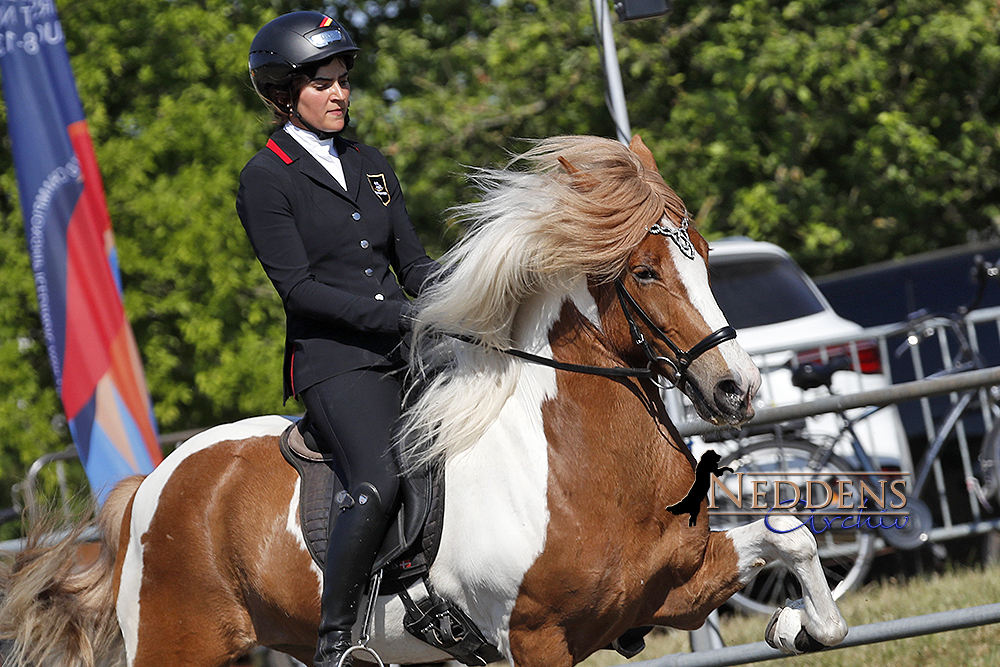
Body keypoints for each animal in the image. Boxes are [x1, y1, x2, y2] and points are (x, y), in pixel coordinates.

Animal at [0, 136, 844, 667]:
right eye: (643, 272)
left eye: (703, 255)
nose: (738, 387)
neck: (573, 462)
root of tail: (155, 480)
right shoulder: (536, 638)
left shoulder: (672, 586)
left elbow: (792, 535)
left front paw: (799, 624)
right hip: (179, 645)